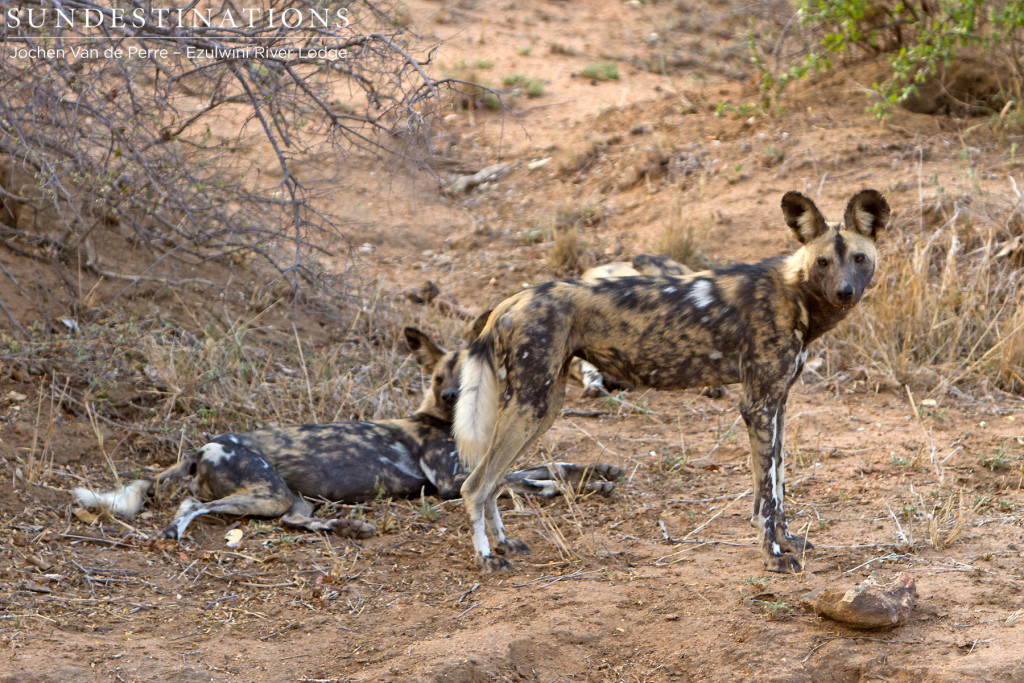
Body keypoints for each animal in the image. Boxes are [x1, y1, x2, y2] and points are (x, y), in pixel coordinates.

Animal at [75, 327, 618, 540]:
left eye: (464, 379)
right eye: (438, 377)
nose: (449, 397)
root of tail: (202, 445)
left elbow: (545, 465)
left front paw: (598, 473)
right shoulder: (449, 483)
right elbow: (518, 479)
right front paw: (563, 486)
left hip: (286, 497)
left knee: (296, 522)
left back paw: (348, 527)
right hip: (266, 491)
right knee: (192, 505)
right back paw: (175, 531)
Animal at [454, 189, 888, 573]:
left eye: (859, 258)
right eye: (823, 263)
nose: (844, 292)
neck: (795, 293)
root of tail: (509, 302)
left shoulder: (777, 404)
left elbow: (777, 487)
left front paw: (788, 541)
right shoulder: (757, 407)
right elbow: (766, 497)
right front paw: (774, 557)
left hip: (542, 407)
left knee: (494, 479)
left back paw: (504, 542)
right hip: (531, 405)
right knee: (475, 484)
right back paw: (487, 558)